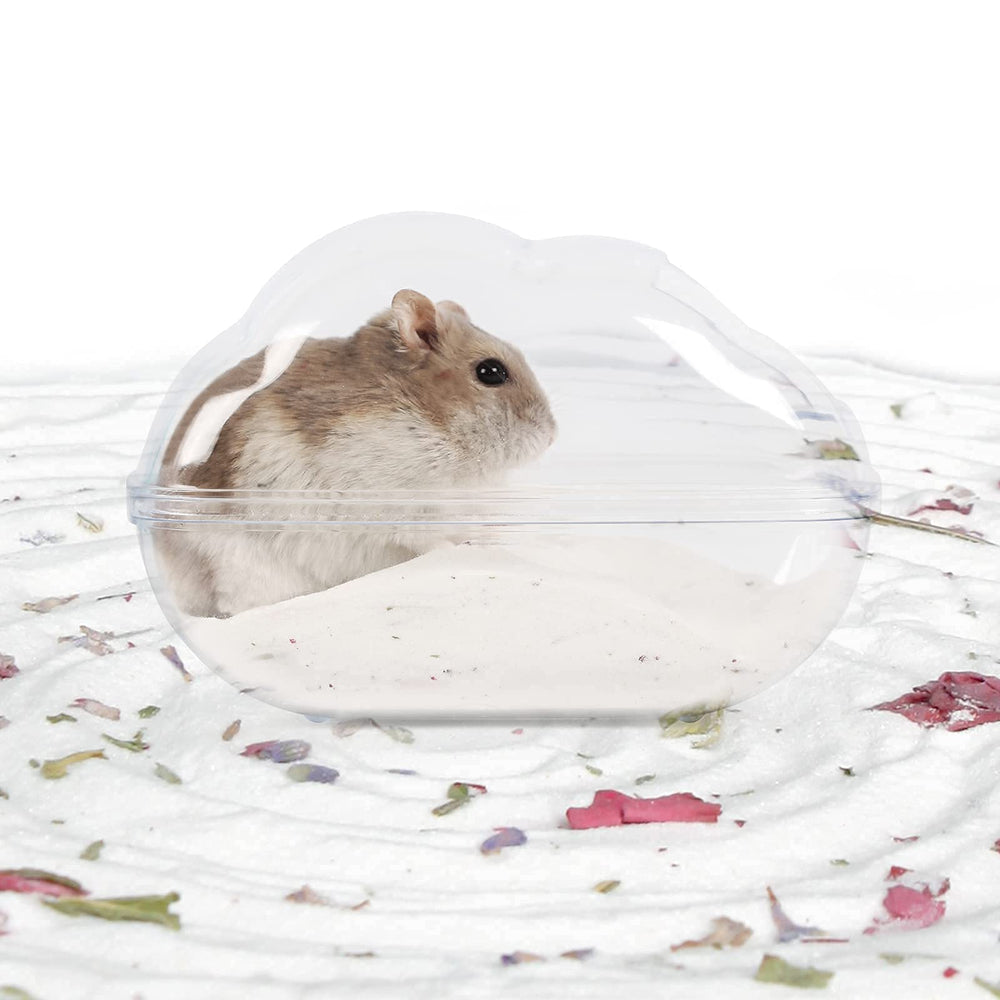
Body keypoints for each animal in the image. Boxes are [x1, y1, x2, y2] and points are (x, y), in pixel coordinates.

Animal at [155, 289, 557, 617]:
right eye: (491, 371)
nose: (552, 435)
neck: (435, 427)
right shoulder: (394, 505)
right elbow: (427, 537)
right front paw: (462, 549)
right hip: (244, 565)